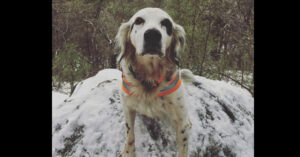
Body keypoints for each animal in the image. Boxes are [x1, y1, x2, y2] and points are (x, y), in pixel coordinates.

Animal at [116, 7, 193, 157]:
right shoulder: (128, 107)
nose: (152, 35)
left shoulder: (182, 123)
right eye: (139, 20)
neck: (149, 79)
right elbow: (130, 135)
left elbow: (183, 148)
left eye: (166, 23)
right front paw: (127, 152)